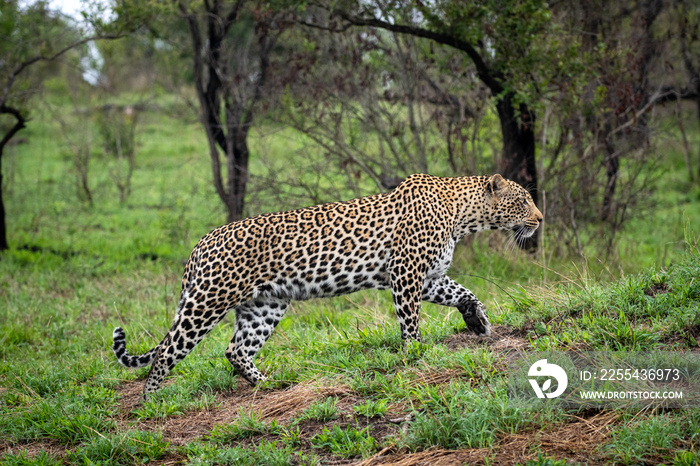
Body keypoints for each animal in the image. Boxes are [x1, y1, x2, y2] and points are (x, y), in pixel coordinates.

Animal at [113, 173, 540, 396]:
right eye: (523, 201)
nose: (540, 219)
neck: (463, 216)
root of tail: (200, 243)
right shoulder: (406, 274)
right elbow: (411, 322)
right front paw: (416, 355)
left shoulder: (428, 277)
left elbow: (464, 293)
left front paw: (477, 321)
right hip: (206, 302)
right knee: (166, 351)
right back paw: (152, 401)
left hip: (265, 305)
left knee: (236, 350)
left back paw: (269, 383)